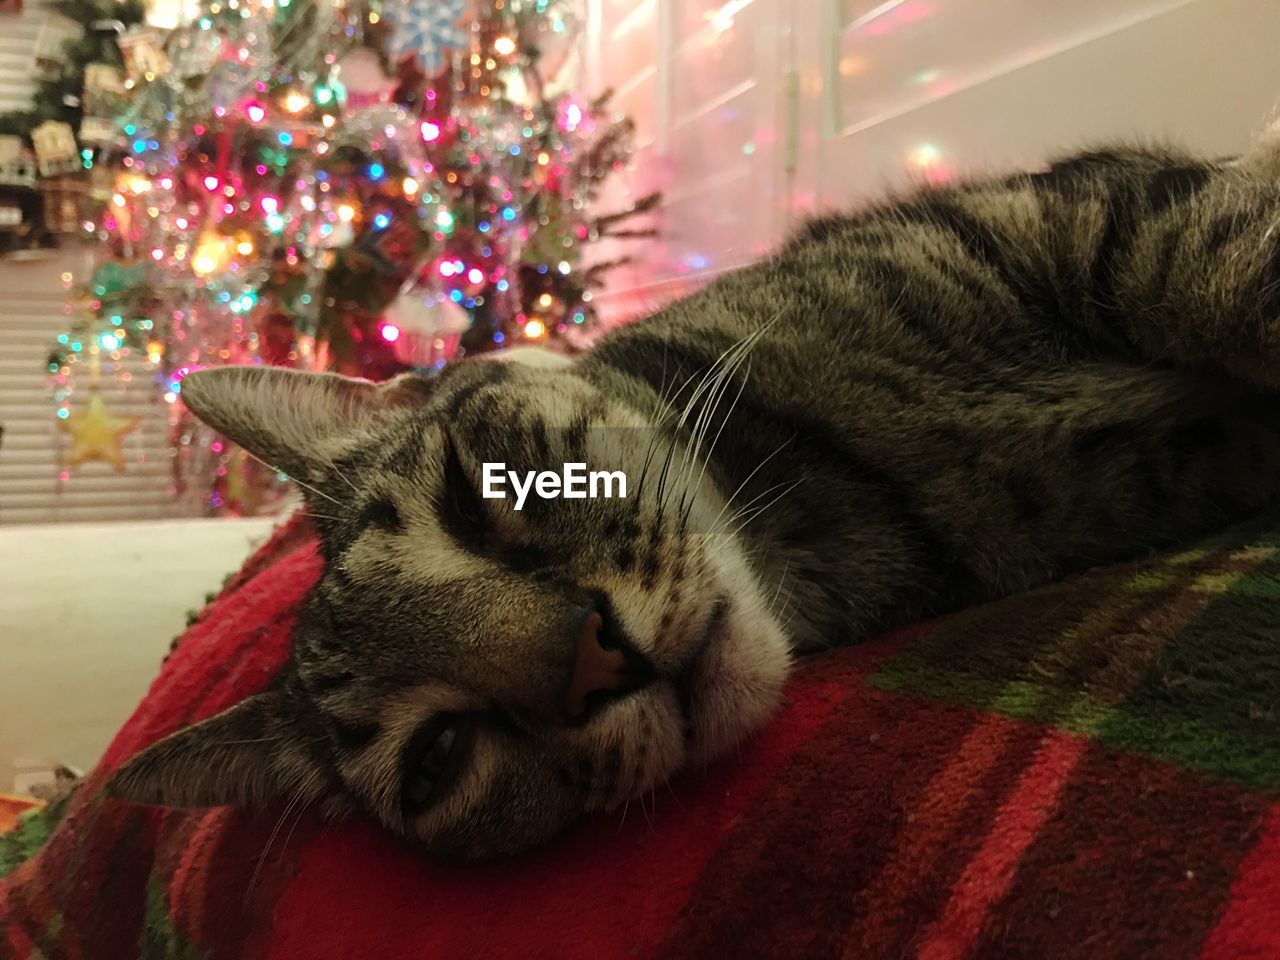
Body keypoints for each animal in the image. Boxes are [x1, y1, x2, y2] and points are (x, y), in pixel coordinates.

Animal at [104, 138, 1280, 860]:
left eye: (471, 494)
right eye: (437, 757)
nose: (592, 661)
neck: (850, 488)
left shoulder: (1072, 209)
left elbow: (1221, 258)